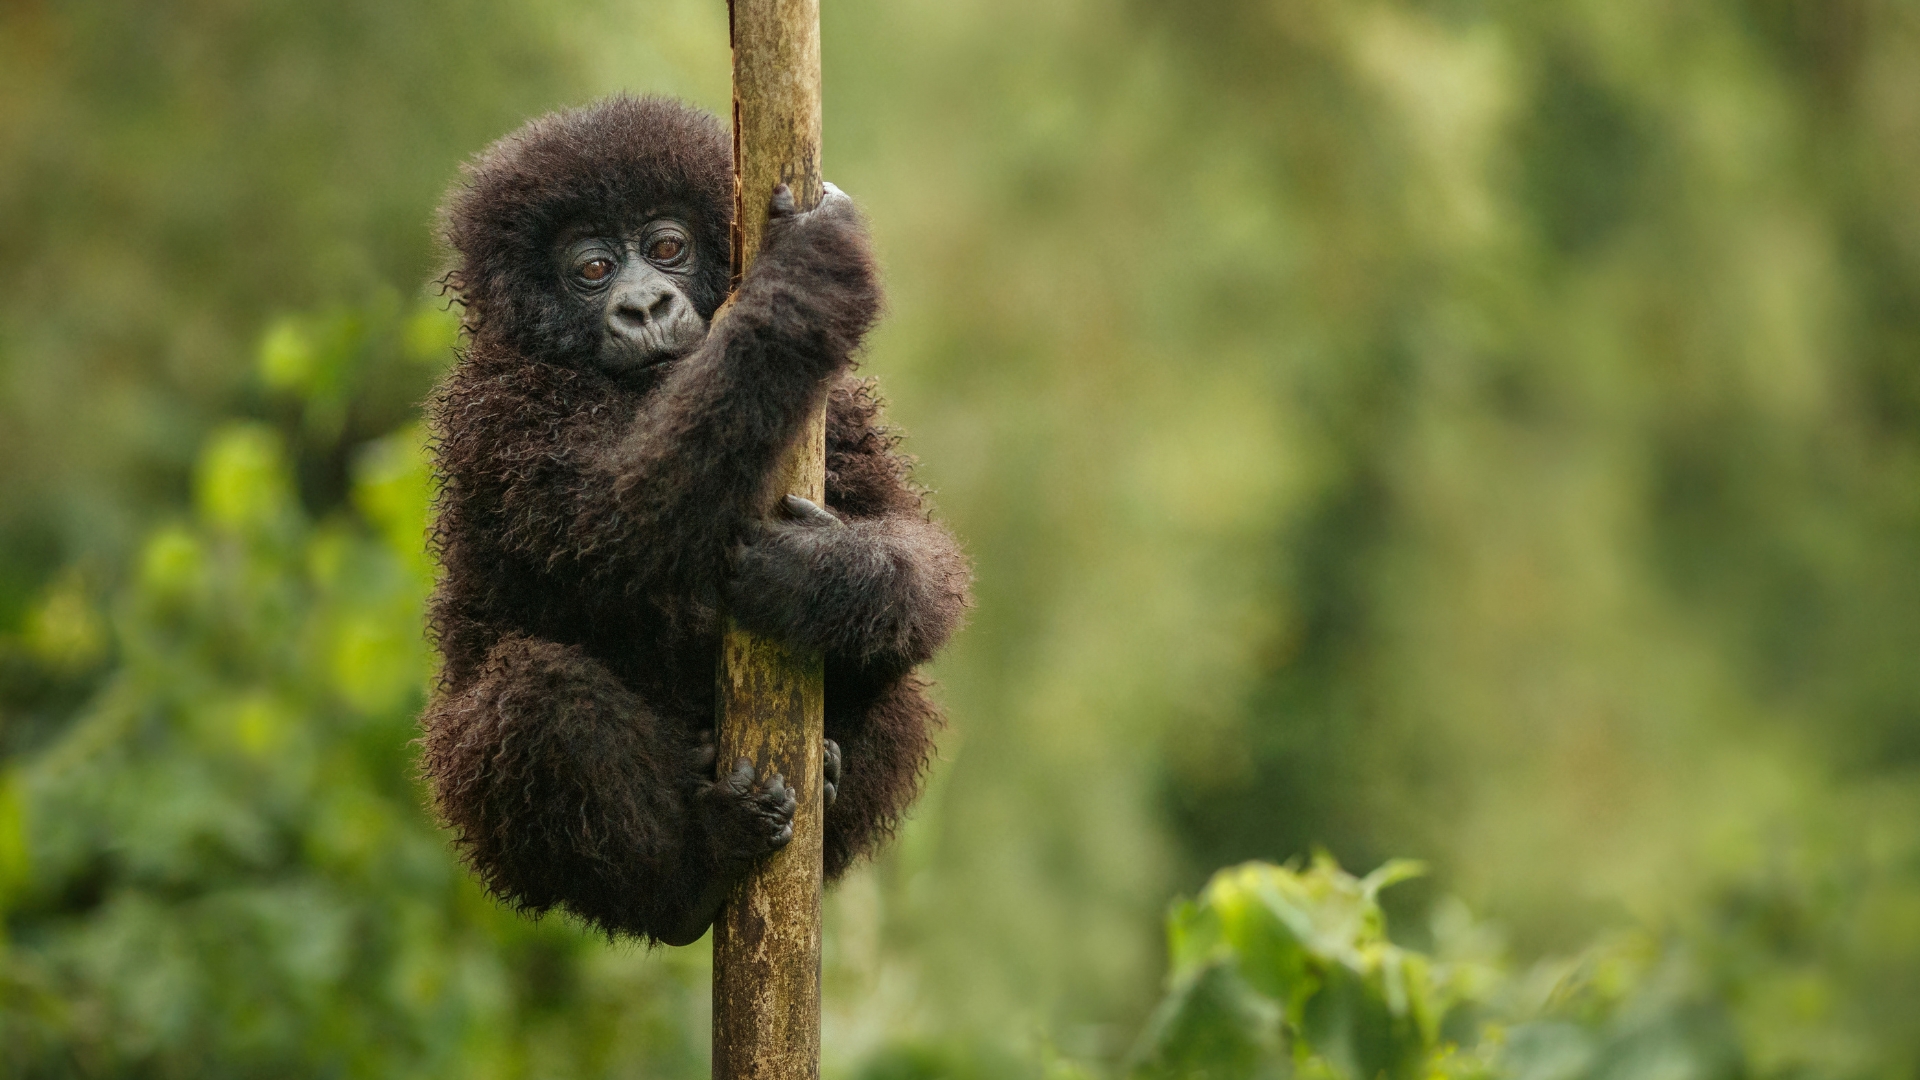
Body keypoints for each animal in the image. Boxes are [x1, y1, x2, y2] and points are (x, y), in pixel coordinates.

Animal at [418, 96, 970, 946]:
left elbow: (918, 552)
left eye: (668, 247)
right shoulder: (497, 411)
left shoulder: (839, 407)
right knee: (535, 697)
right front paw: (805, 276)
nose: (645, 305)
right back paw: (689, 877)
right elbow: (619, 519)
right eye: (592, 270)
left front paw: (818, 577)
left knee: (901, 678)